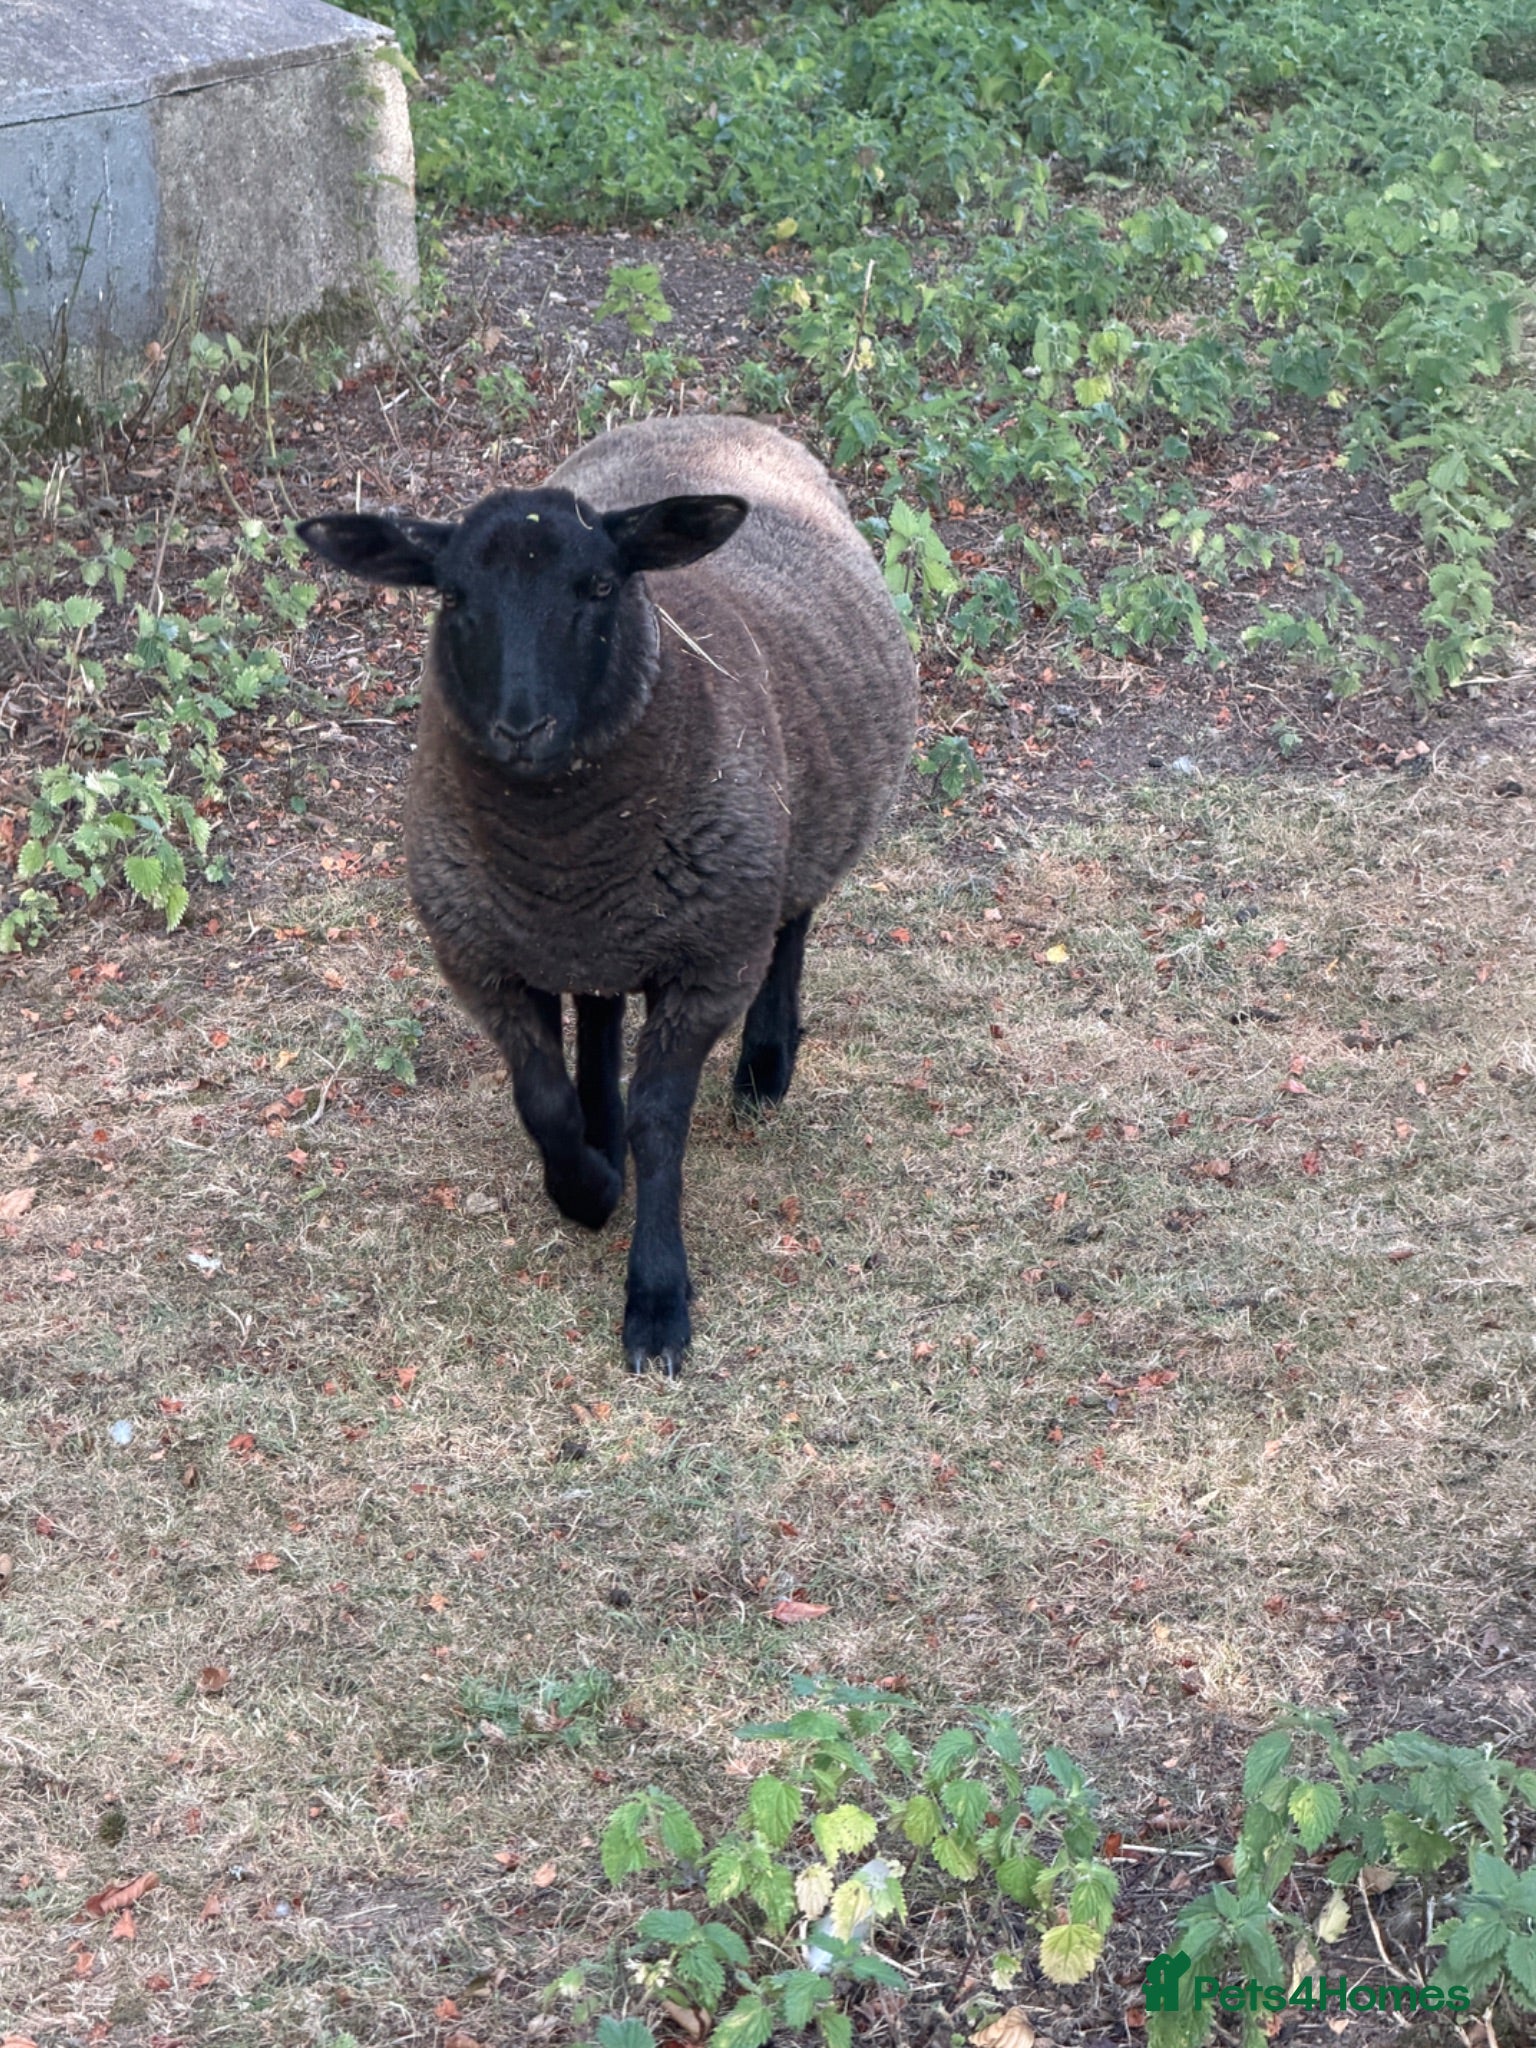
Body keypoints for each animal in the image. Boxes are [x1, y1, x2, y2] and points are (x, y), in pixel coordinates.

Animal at [298, 414, 916, 1375]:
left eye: (597, 586)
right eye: (452, 596)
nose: (522, 727)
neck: (564, 847)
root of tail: (708, 417)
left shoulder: (707, 963)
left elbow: (661, 1124)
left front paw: (656, 1301)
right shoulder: (483, 960)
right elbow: (541, 1101)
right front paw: (586, 1188)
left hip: (800, 832)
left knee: (793, 923)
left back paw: (765, 1065)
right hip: (606, 932)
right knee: (597, 1007)